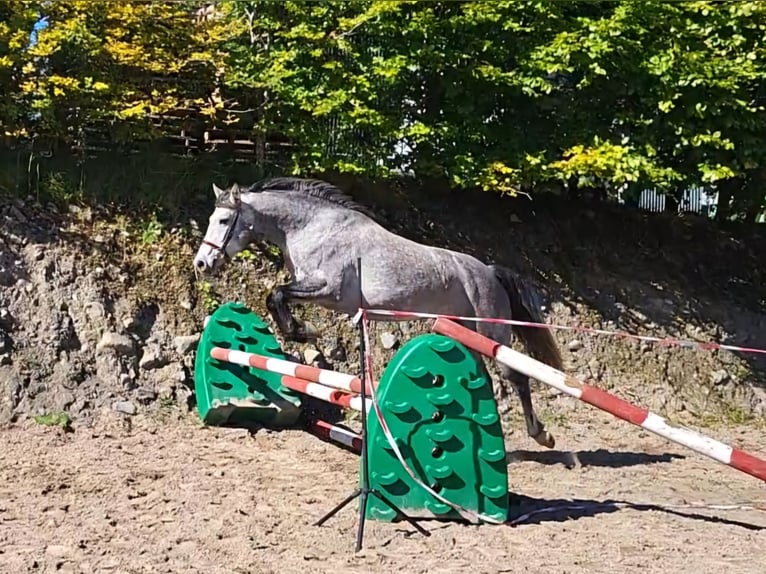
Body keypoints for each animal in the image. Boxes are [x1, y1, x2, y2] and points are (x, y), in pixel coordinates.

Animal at [192, 177, 564, 450]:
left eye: (223, 220)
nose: (202, 264)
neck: (311, 229)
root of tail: (489, 271)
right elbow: (276, 297)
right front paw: (301, 330)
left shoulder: (328, 291)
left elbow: (277, 294)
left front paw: (305, 330)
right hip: (461, 331)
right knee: (481, 377)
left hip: (491, 333)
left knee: (515, 376)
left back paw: (541, 435)